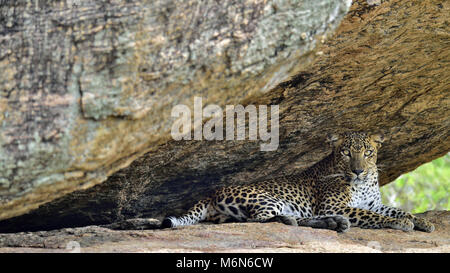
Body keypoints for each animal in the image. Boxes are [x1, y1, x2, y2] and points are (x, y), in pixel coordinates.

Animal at [160, 131, 434, 232]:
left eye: (368, 152)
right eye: (346, 152)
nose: (358, 171)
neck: (364, 182)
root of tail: (210, 193)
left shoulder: (373, 203)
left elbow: (397, 209)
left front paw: (421, 221)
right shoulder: (336, 205)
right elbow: (374, 216)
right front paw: (402, 224)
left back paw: (333, 223)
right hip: (269, 199)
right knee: (258, 219)